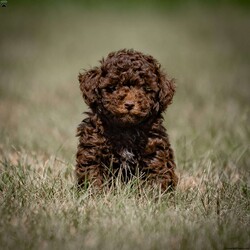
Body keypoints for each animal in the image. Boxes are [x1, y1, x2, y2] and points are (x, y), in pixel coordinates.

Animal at [75, 48, 178, 189]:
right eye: (112, 88)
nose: (129, 104)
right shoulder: (93, 148)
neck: (126, 129)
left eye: (146, 89)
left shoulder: (154, 149)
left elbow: (155, 175)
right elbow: (93, 174)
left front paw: (152, 194)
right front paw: (96, 192)